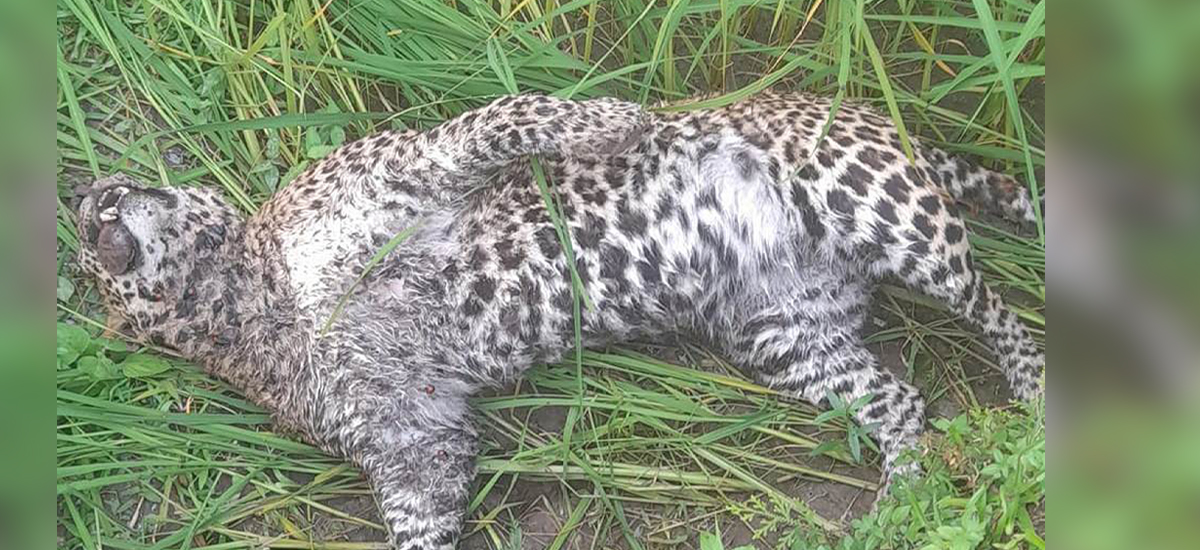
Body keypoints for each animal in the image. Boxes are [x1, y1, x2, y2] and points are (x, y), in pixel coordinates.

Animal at [75, 91, 1044, 550]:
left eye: (110, 190)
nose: (89, 204)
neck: (248, 308)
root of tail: (888, 125)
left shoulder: (412, 169)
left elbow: (506, 119)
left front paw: (628, 121)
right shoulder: (417, 441)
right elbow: (420, 518)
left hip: (883, 209)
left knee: (1003, 314)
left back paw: (1034, 400)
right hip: (785, 336)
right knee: (904, 406)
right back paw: (902, 507)